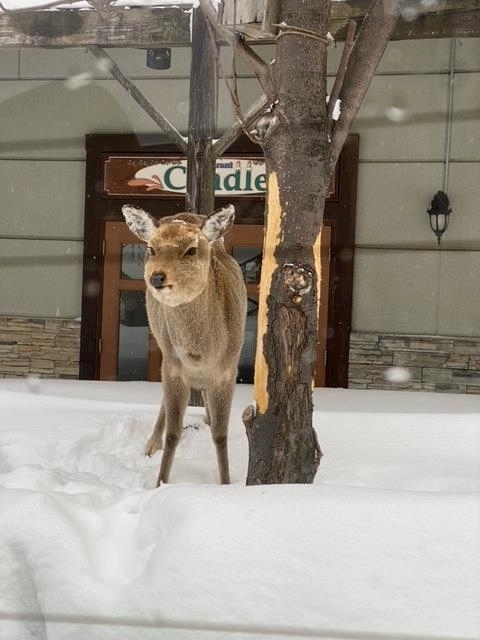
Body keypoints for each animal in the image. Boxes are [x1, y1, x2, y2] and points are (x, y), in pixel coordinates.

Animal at [122, 205, 248, 484]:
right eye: (152, 248)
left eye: (191, 249)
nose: (157, 277)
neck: (201, 355)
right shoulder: (173, 367)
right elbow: (173, 434)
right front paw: (160, 484)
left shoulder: (228, 371)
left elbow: (221, 435)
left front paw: (226, 484)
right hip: (163, 348)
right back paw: (151, 445)